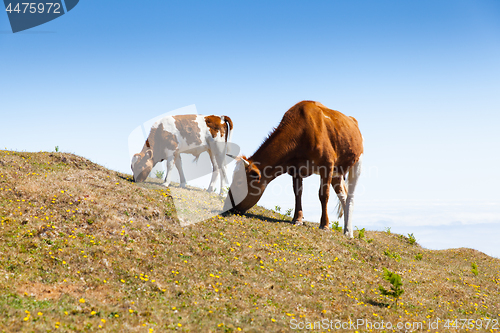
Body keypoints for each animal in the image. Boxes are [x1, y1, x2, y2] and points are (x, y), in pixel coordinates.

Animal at [224, 100, 364, 237]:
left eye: (239, 182)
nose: (228, 205)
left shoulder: (327, 164)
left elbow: (324, 194)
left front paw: (324, 225)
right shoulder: (296, 169)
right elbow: (297, 193)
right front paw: (297, 219)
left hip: (356, 162)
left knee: (350, 197)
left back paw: (348, 231)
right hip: (337, 171)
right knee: (343, 196)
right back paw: (347, 230)